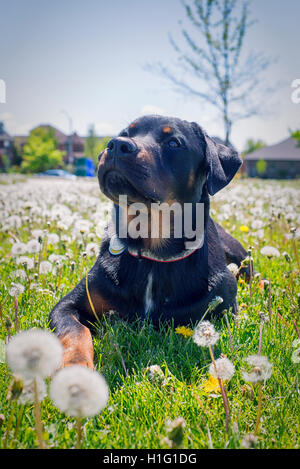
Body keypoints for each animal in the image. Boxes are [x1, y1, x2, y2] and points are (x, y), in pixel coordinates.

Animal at [49, 115, 247, 368]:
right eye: (124, 133)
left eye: (173, 143)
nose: (117, 145)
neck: (153, 253)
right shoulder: (69, 305)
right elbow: (75, 331)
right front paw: (76, 367)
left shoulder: (224, 306)